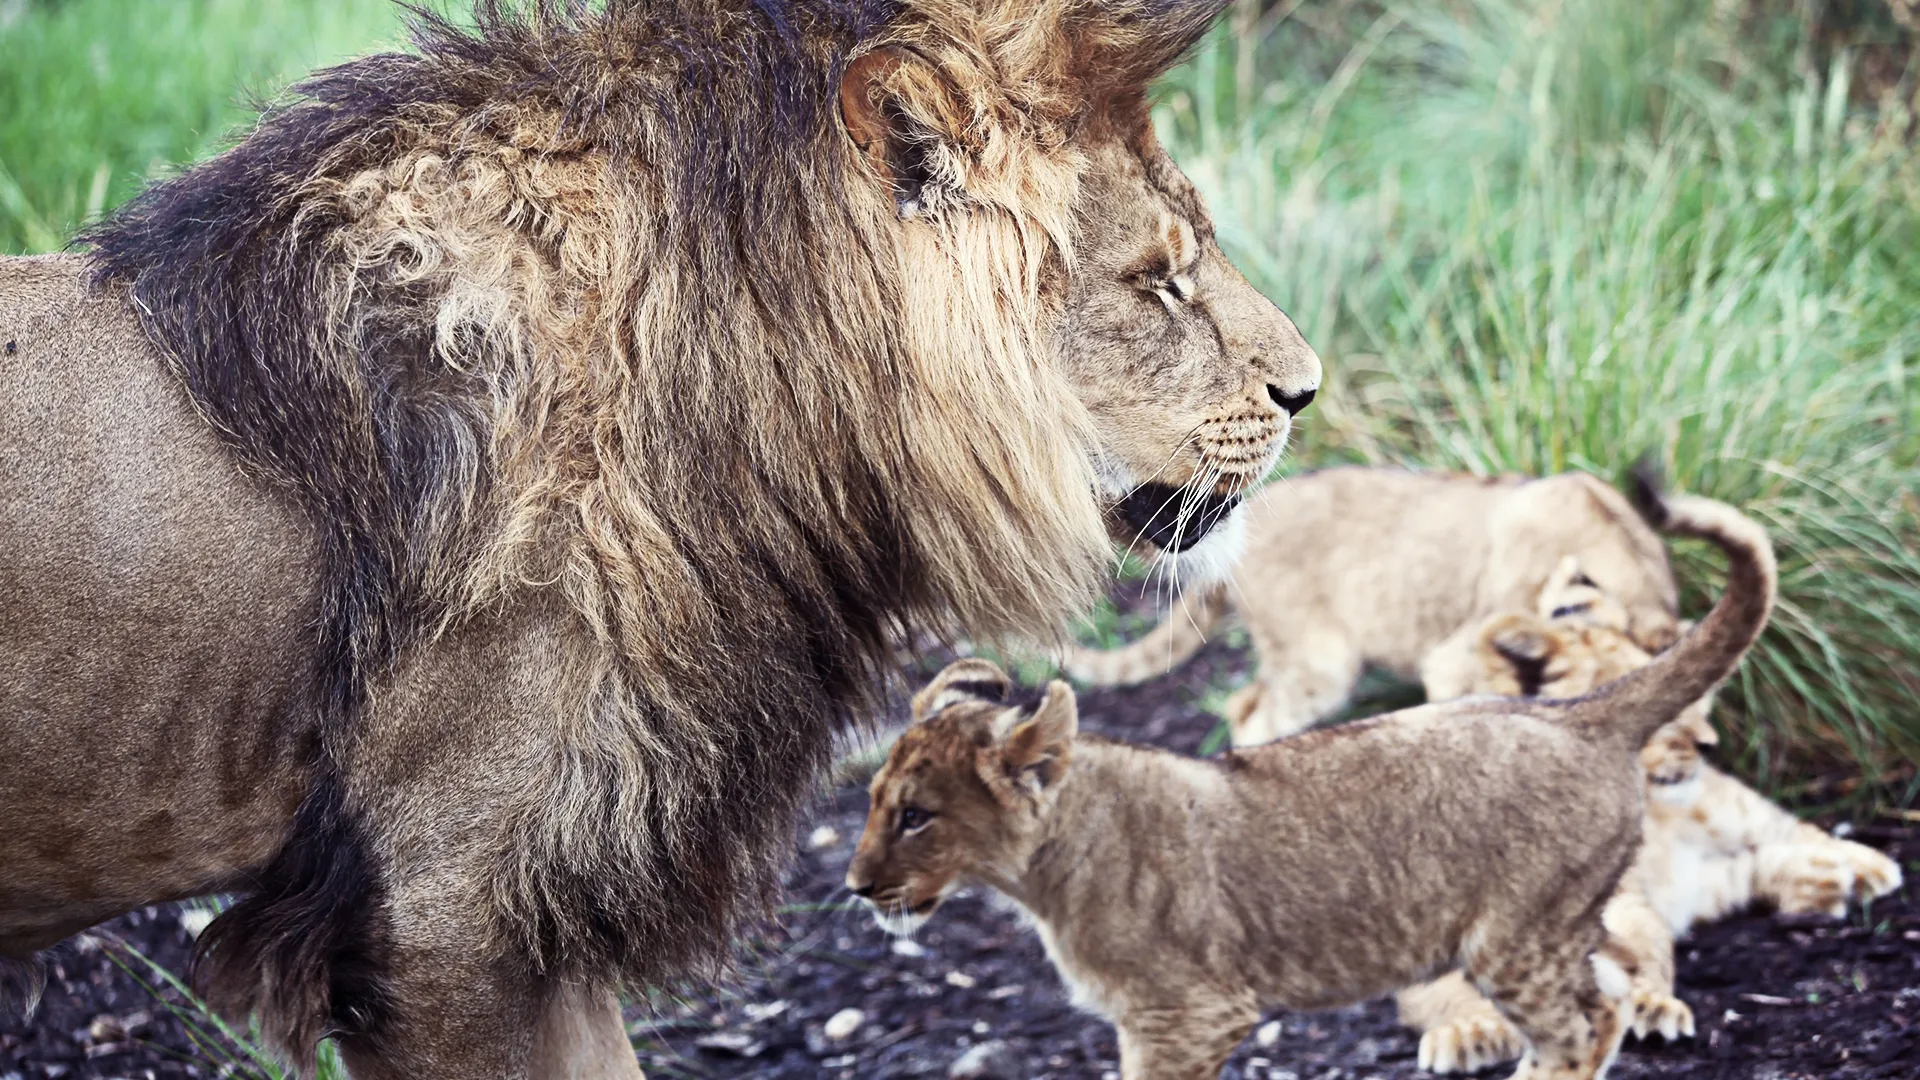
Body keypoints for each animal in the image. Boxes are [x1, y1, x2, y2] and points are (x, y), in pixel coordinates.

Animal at [1398, 558, 1902, 1075]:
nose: (1708, 744)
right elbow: (1446, 989)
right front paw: (1471, 1030)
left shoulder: (1618, 902)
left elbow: (1641, 952)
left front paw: (1649, 1006)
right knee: (1745, 871)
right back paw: (1818, 881)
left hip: (1725, 811)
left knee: (1783, 826)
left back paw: (1860, 868)